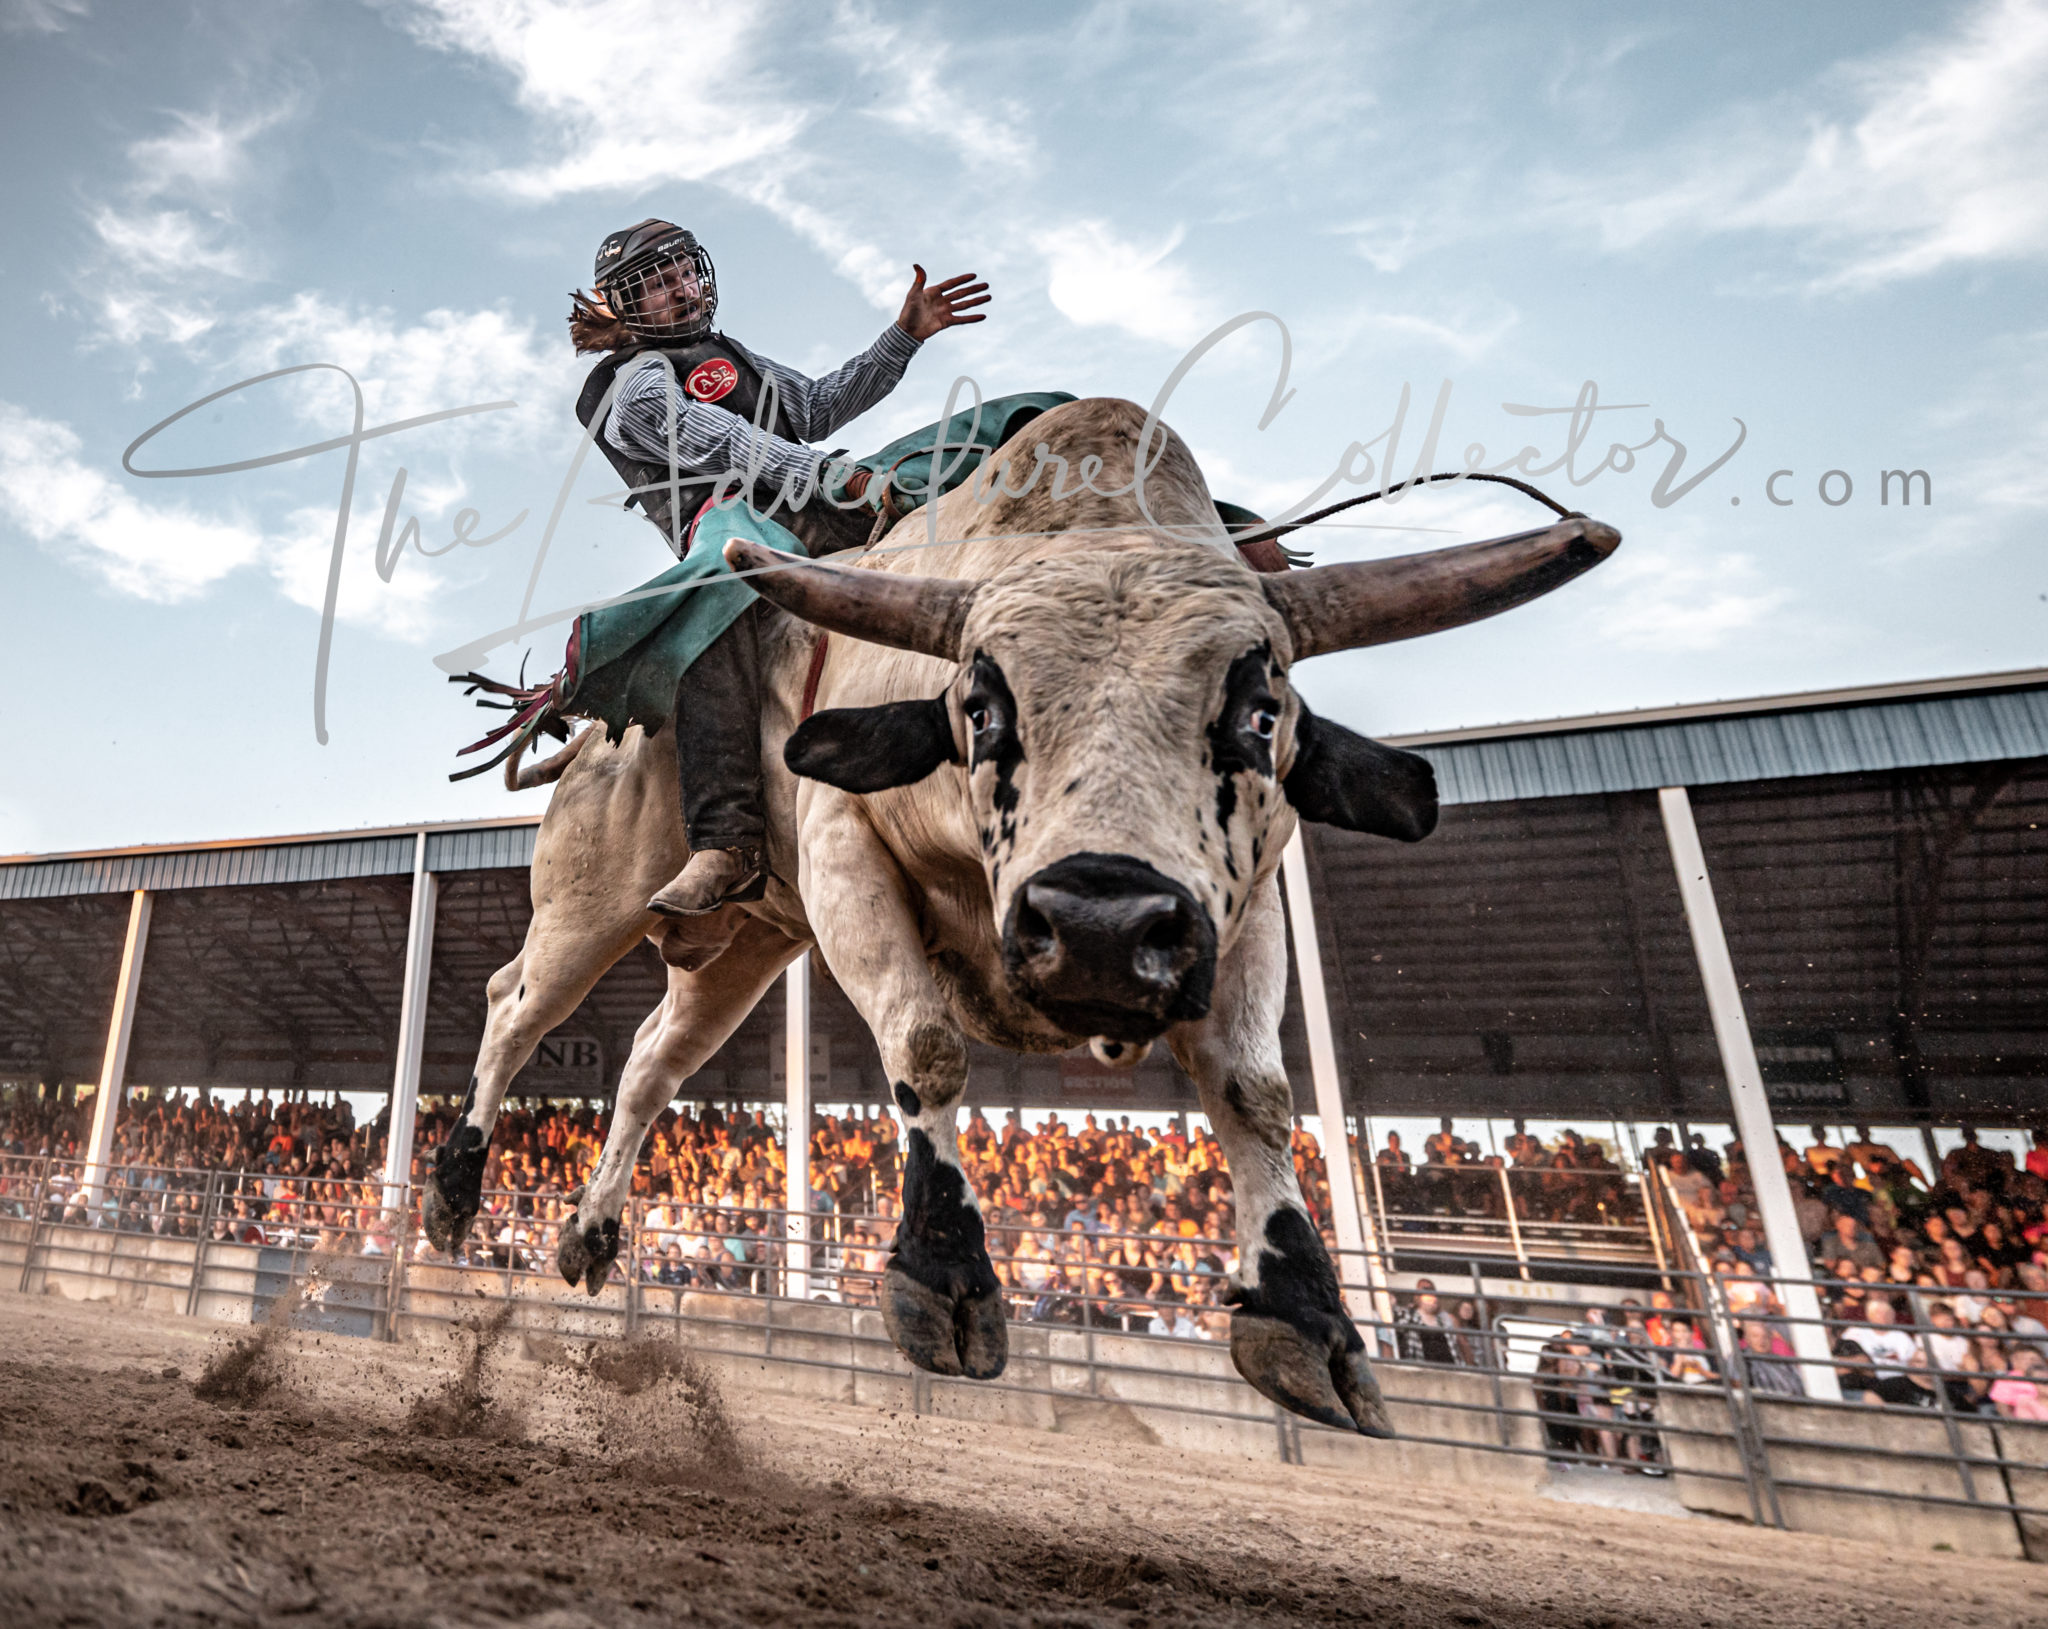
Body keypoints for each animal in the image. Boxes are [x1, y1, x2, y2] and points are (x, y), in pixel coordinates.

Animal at [428, 397, 1613, 1442]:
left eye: (1260, 712)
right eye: (982, 703)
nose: (1100, 925)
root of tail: (587, 731)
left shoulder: (1243, 907)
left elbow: (1257, 1093)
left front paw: (1308, 1319)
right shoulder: (848, 846)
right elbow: (925, 1047)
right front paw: (945, 1276)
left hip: (746, 944)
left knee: (649, 1059)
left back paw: (589, 1234)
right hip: (591, 899)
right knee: (516, 1008)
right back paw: (450, 1190)